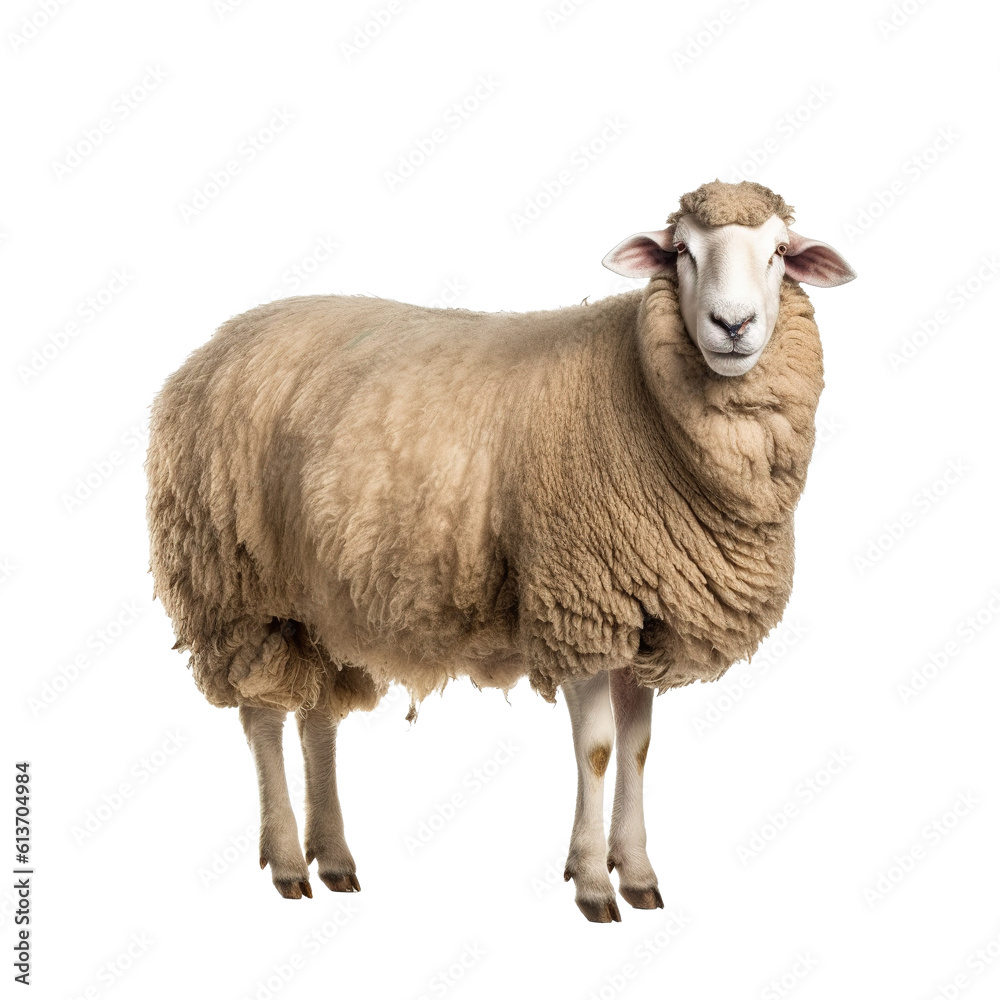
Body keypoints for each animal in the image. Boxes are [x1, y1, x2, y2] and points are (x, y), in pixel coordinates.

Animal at [145, 179, 855, 921]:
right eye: (682, 250)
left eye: (780, 252)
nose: (733, 324)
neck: (639, 392)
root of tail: (213, 346)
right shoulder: (579, 606)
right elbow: (598, 750)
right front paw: (592, 883)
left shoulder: (642, 615)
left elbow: (637, 749)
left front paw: (636, 874)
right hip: (239, 587)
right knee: (261, 718)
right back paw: (287, 862)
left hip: (321, 598)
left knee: (316, 718)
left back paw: (334, 857)